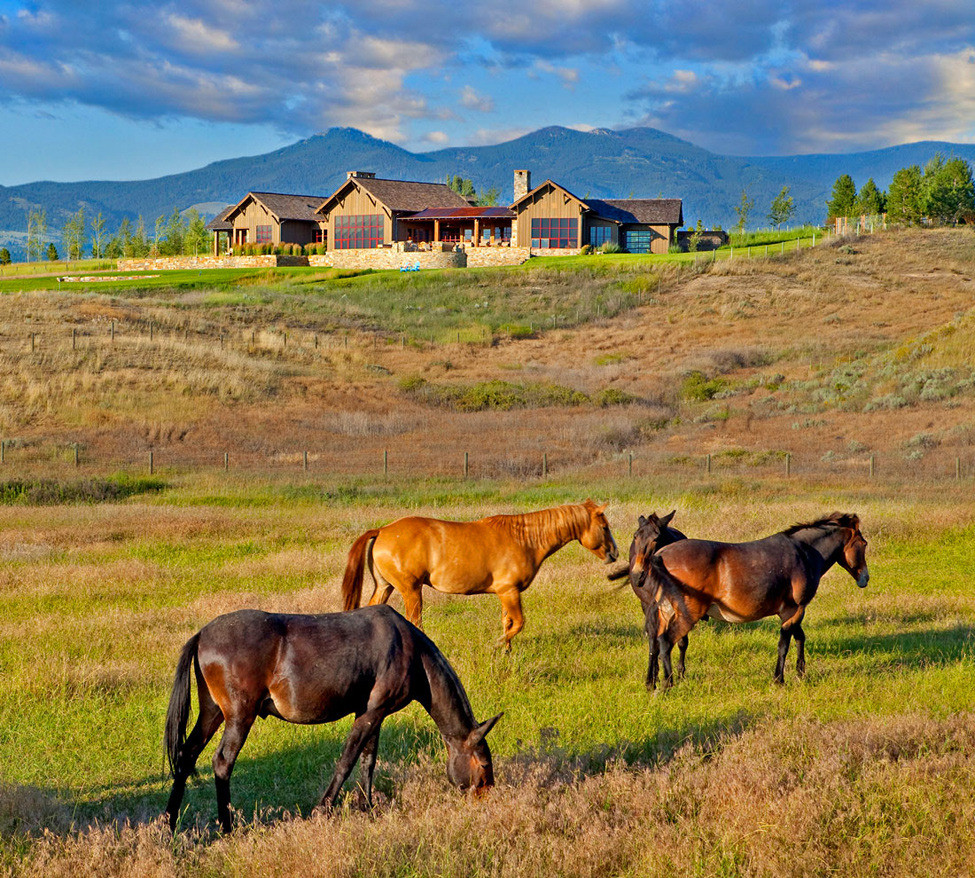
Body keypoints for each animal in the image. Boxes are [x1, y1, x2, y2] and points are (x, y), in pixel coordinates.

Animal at [164, 604, 500, 832]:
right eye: (484, 766)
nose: (487, 800)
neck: (412, 651)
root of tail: (202, 635)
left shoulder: (373, 714)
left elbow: (368, 760)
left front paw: (367, 807)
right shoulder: (370, 713)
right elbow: (347, 761)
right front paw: (323, 810)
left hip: (212, 712)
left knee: (187, 754)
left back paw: (169, 823)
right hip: (238, 716)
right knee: (222, 762)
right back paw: (227, 827)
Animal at [342, 498, 616, 648]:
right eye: (604, 526)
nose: (614, 553)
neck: (524, 539)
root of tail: (382, 530)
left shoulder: (506, 594)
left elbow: (508, 623)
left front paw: (506, 652)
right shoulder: (510, 591)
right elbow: (518, 623)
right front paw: (496, 646)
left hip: (385, 587)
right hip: (411, 590)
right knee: (415, 622)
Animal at [648, 512, 868, 692]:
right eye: (864, 544)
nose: (865, 578)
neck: (803, 552)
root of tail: (661, 555)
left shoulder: (791, 612)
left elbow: (799, 637)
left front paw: (800, 673)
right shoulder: (795, 609)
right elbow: (784, 644)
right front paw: (779, 679)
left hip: (666, 612)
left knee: (655, 642)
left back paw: (652, 683)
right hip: (687, 613)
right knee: (665, 642)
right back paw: (668, 684)